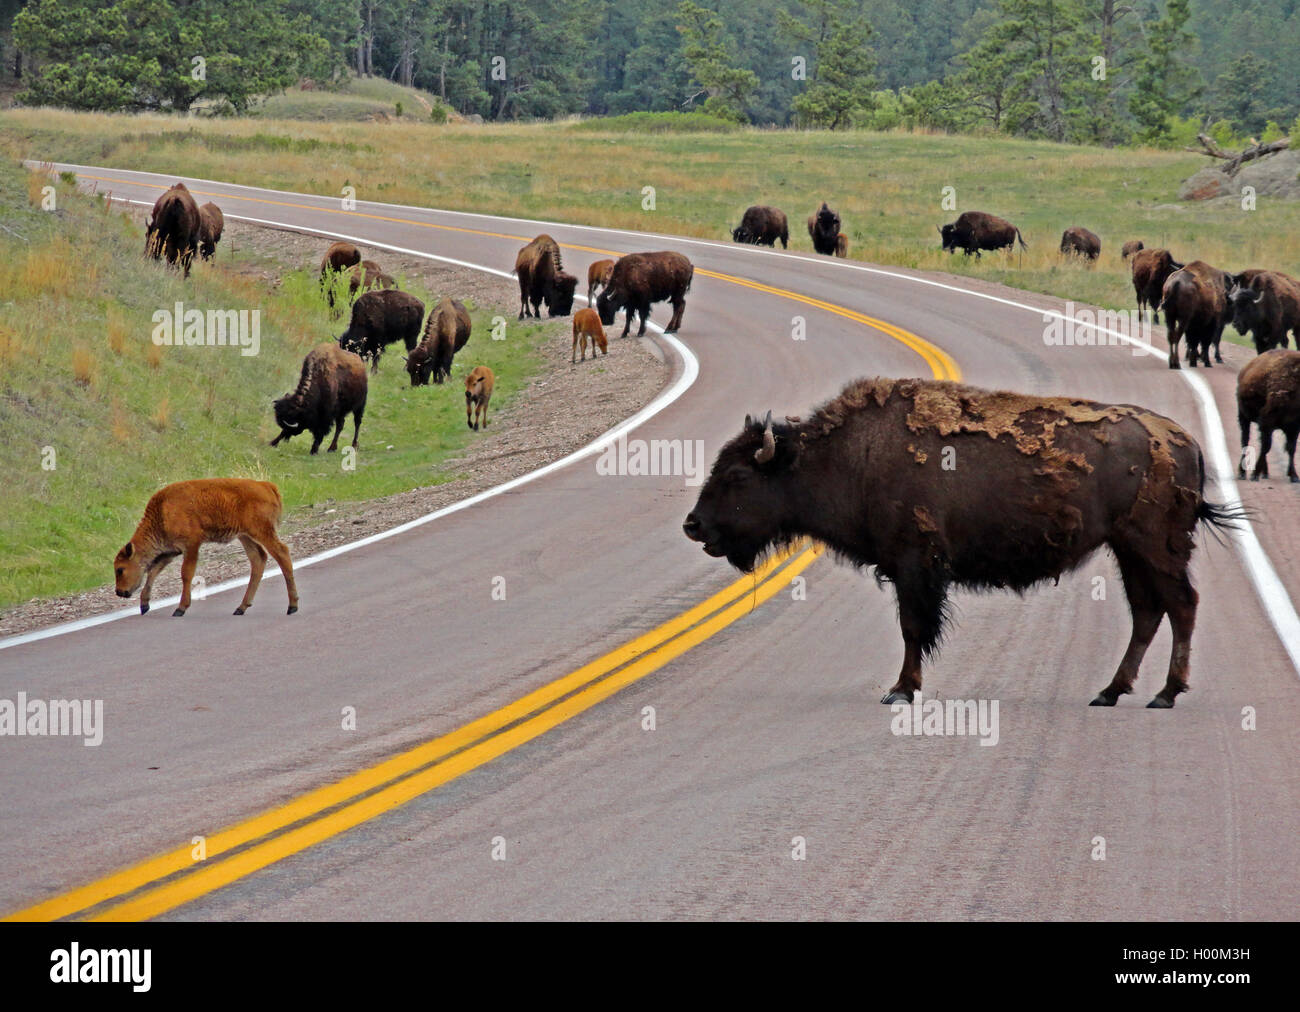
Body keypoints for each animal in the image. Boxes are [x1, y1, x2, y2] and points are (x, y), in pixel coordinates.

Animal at [684, 377, 1235, 708]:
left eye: (737, 475)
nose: (694, 526)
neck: (852, 456)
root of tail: (1185, 442)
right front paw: (904, 688)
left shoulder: (916, 567)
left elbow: (912, 629)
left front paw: (901, 691)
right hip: (1127, 550)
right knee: (1148, 611)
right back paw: (1110, 692)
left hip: (1156, 548)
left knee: (1182, 605)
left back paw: (1165, 693)